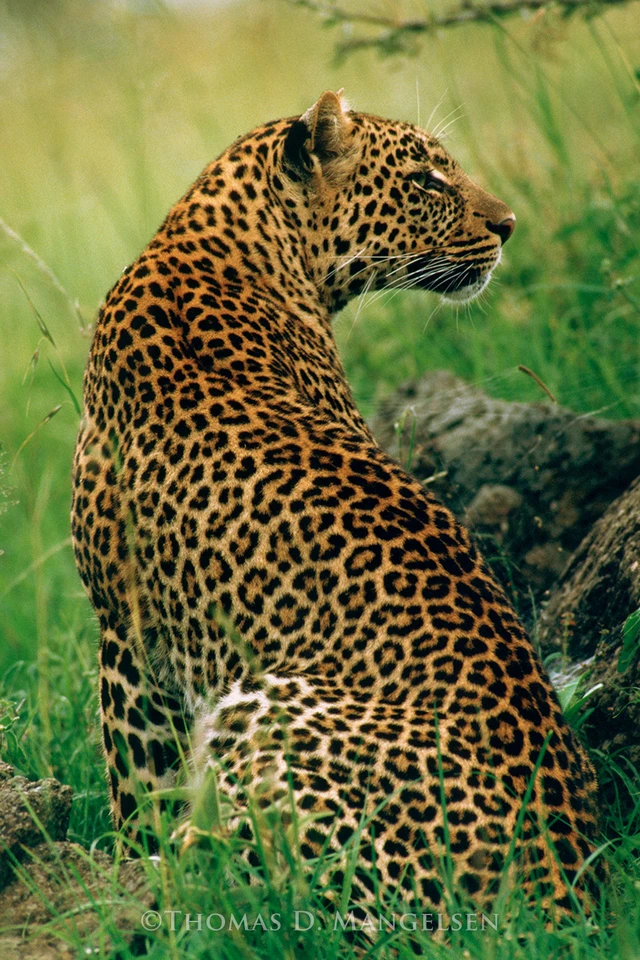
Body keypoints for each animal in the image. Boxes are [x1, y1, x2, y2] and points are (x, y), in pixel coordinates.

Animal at [71, 90, 602, 918]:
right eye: (425, 180)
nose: (509, 224)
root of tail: (563, 889)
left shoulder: (125, 635)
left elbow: (140, 787)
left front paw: (128, 869)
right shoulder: (127, 637)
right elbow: (139, 785)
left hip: (262, 703)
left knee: (259, 883)